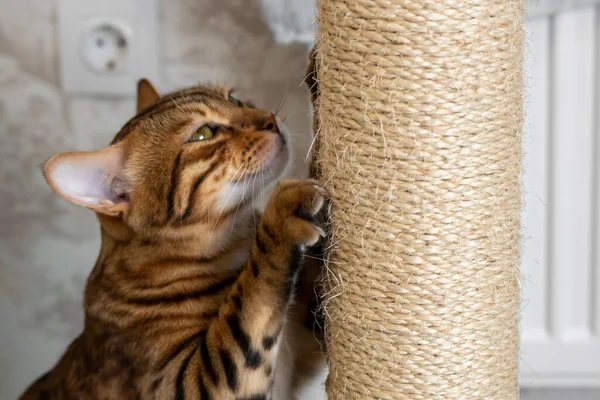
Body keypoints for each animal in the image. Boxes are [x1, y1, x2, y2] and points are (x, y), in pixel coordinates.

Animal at [19, 79, 328, 398]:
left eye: (235, 100)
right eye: (204, 133)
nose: (270, 119)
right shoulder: (191, 383)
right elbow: (252, 298)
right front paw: (281, 217)